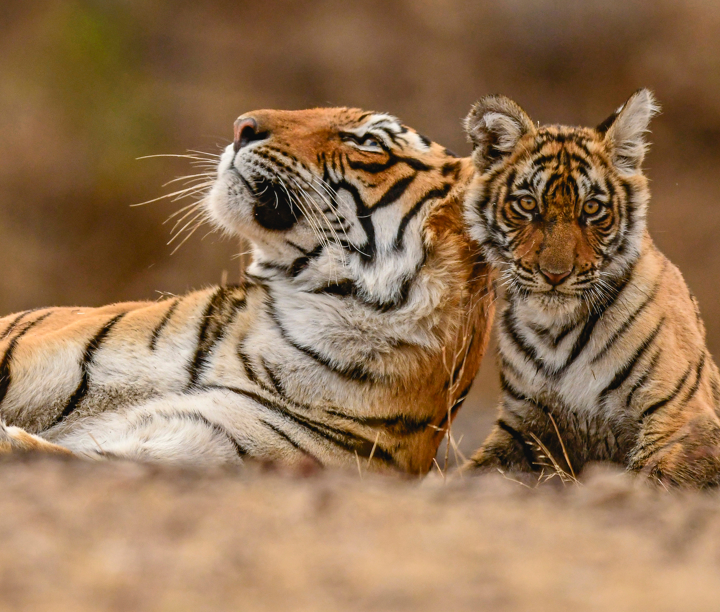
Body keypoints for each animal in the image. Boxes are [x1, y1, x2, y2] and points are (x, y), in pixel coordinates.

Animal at [461, 89, 720, 487]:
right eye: (527, 204)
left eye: (593, 209)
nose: (555, 274)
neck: (553, 331)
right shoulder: (523, 425)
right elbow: (468, 473)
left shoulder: (683, 416)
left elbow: (652, 477)